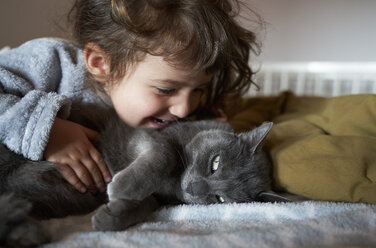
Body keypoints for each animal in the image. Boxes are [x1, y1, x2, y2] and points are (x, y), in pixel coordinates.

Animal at [0, 114, 290, 246]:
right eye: (215, 163)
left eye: (220, 199)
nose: (193, 188)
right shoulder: (151, 136)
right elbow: (165, 154)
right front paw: (122, 188)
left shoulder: (159, 198)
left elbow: (145, 205)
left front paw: (110, 216)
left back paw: (25, 233)